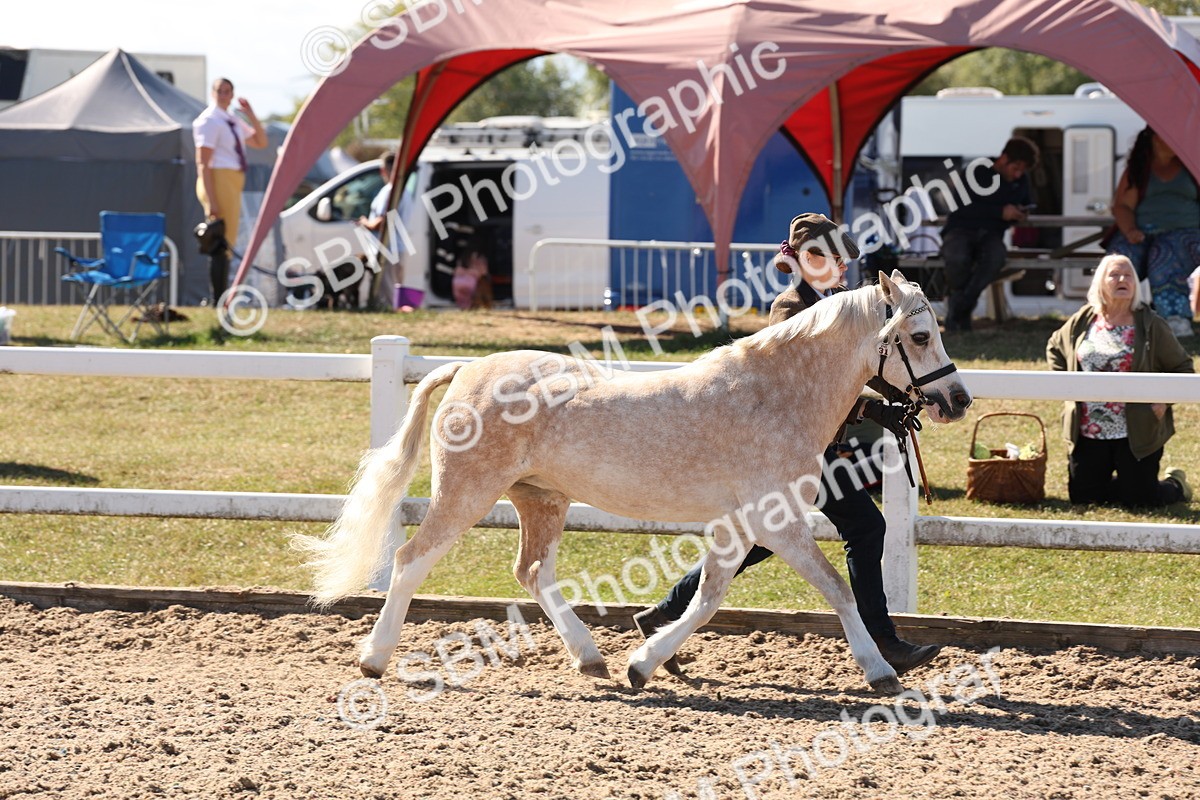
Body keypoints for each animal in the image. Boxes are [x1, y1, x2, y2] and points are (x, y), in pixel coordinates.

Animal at [293, 271, 973, 695]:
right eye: (919, 336)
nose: (958, 400)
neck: (773, 396)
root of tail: (466, 370)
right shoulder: (775, 522)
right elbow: (837, 588)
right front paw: (881, 671)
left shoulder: (738, 526)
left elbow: (708, 597)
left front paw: (642, 666)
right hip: (467, 493)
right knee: (411, 559)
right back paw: (374, 659)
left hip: (541, 499)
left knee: (532, 571)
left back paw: (590, 657)